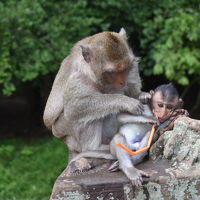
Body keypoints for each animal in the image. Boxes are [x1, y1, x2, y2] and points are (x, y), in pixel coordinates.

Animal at [43, 28, 145, 173]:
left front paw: (142, 95)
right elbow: (74, 107)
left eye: (125, 69)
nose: (122, 82)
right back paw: (94, 148)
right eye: (112, 72)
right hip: (62, 130)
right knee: (85, 117)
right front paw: (127, 102)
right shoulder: (79, 76)